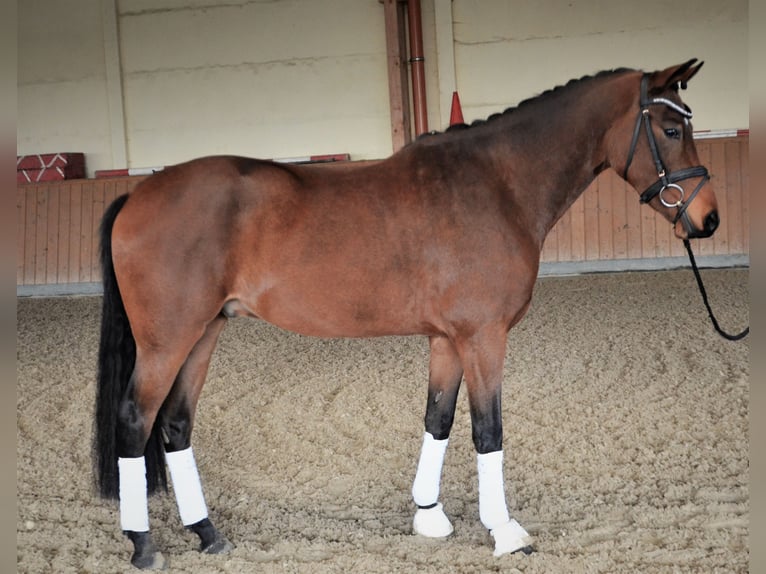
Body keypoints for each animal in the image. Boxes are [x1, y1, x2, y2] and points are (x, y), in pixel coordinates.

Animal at [94, 59, 720, 572]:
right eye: (671, 130)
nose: (708, 219)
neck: (497, 185)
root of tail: (137, 196)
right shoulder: (484, 338)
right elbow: (488, 430)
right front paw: (506, 532)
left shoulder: (448, 340)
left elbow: (437, 419)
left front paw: (429, 517)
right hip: (167, 342)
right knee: (135, 419)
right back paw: (143, 545)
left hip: (204, 333)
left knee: (176, 424)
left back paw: (207, 533)